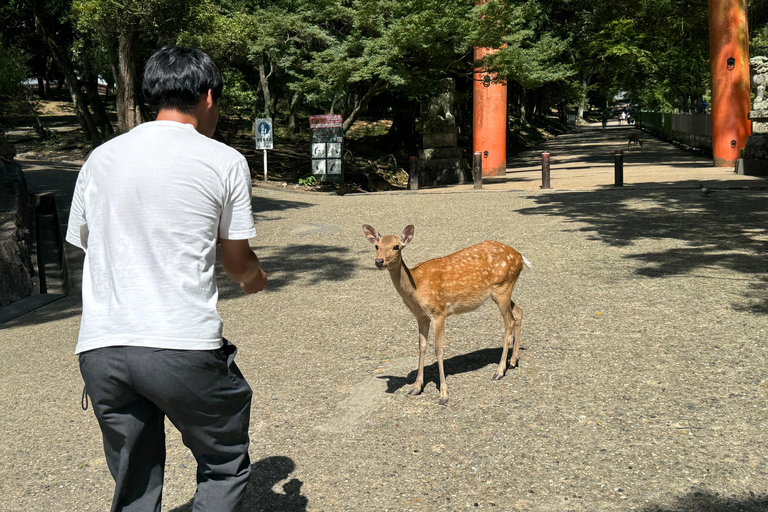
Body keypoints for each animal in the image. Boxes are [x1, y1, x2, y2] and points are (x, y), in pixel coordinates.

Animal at [364, 224, 532, 404]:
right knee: (518, 312)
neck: (416, 287)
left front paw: (443, 394)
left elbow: (439, 349)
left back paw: (499, 371)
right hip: (503, 291)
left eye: (396, 246)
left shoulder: (439, 312)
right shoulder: (421, 317)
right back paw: (513, 361)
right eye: (377, 246)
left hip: (502, 287)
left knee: (509, 322)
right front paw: (416, 388)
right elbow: (422, 346)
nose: (379, 261)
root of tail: (520, 257)